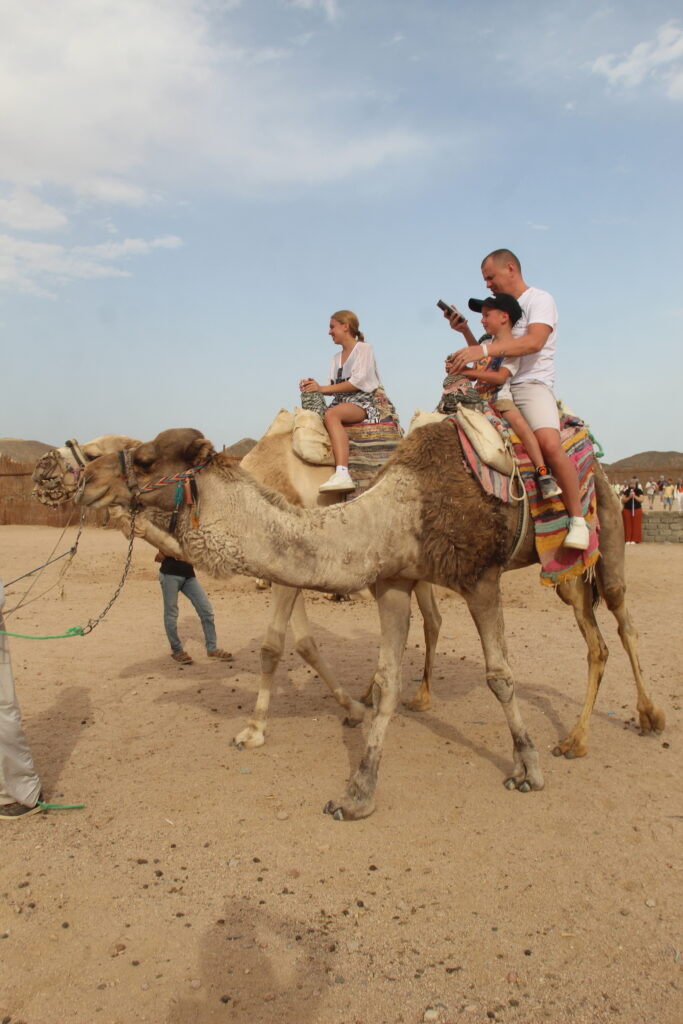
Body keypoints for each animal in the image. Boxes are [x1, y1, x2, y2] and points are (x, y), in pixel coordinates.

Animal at [77, 428, 663, 819]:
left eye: (144, 458)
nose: (87, 481)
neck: (400, 511)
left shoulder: (480, 577)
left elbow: (500, 676)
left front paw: (528, 770)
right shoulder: (394, 582)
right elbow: (385, 684)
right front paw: (357, 793)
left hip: (607, 525)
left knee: (623, 621)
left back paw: (640, 720)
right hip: (564, 571)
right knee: (593, 637)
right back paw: (573, 737)